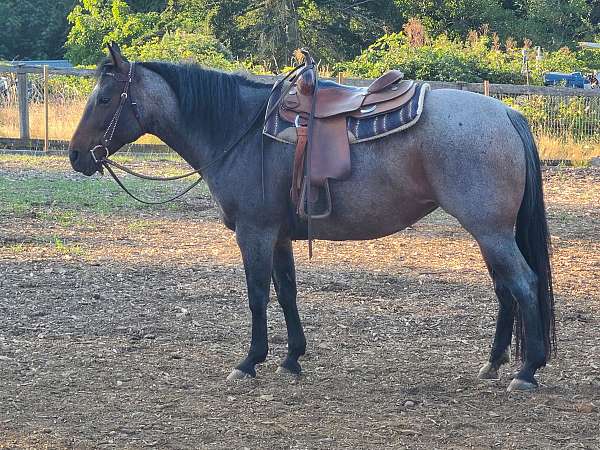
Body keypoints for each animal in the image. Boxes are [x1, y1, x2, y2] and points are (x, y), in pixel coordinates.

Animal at [68, 44, 556, 392]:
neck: (240, 129)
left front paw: (250, 362)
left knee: (523, 284)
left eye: (106, 97)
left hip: (490, 230)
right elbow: (286, 292)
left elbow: (257, 295)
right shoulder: (279, 234)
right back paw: (493, 364)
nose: (76, 156)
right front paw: (291, 359)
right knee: (505, 290)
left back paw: (527, 371)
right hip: (490, 232)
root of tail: (507, 113)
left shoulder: (254, 232)